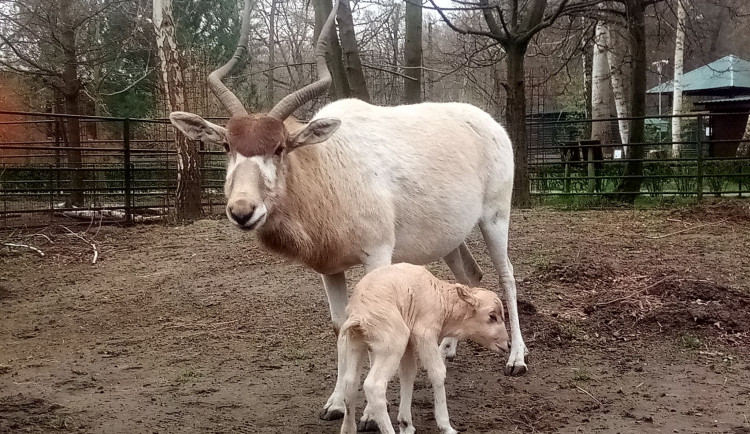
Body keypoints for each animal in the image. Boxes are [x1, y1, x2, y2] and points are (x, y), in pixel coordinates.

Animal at [340, 262, 512, 432]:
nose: (508, 344)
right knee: (374, 386)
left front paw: (406, 424)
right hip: (392, 342)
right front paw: (445, 426)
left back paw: (348, 428)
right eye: (492, 316)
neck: (441, 300)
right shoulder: (425, 333)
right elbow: (438, 372)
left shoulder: (409, 342)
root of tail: (359, 315)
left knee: (350, 383)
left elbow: (408, 373)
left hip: (357, 342)